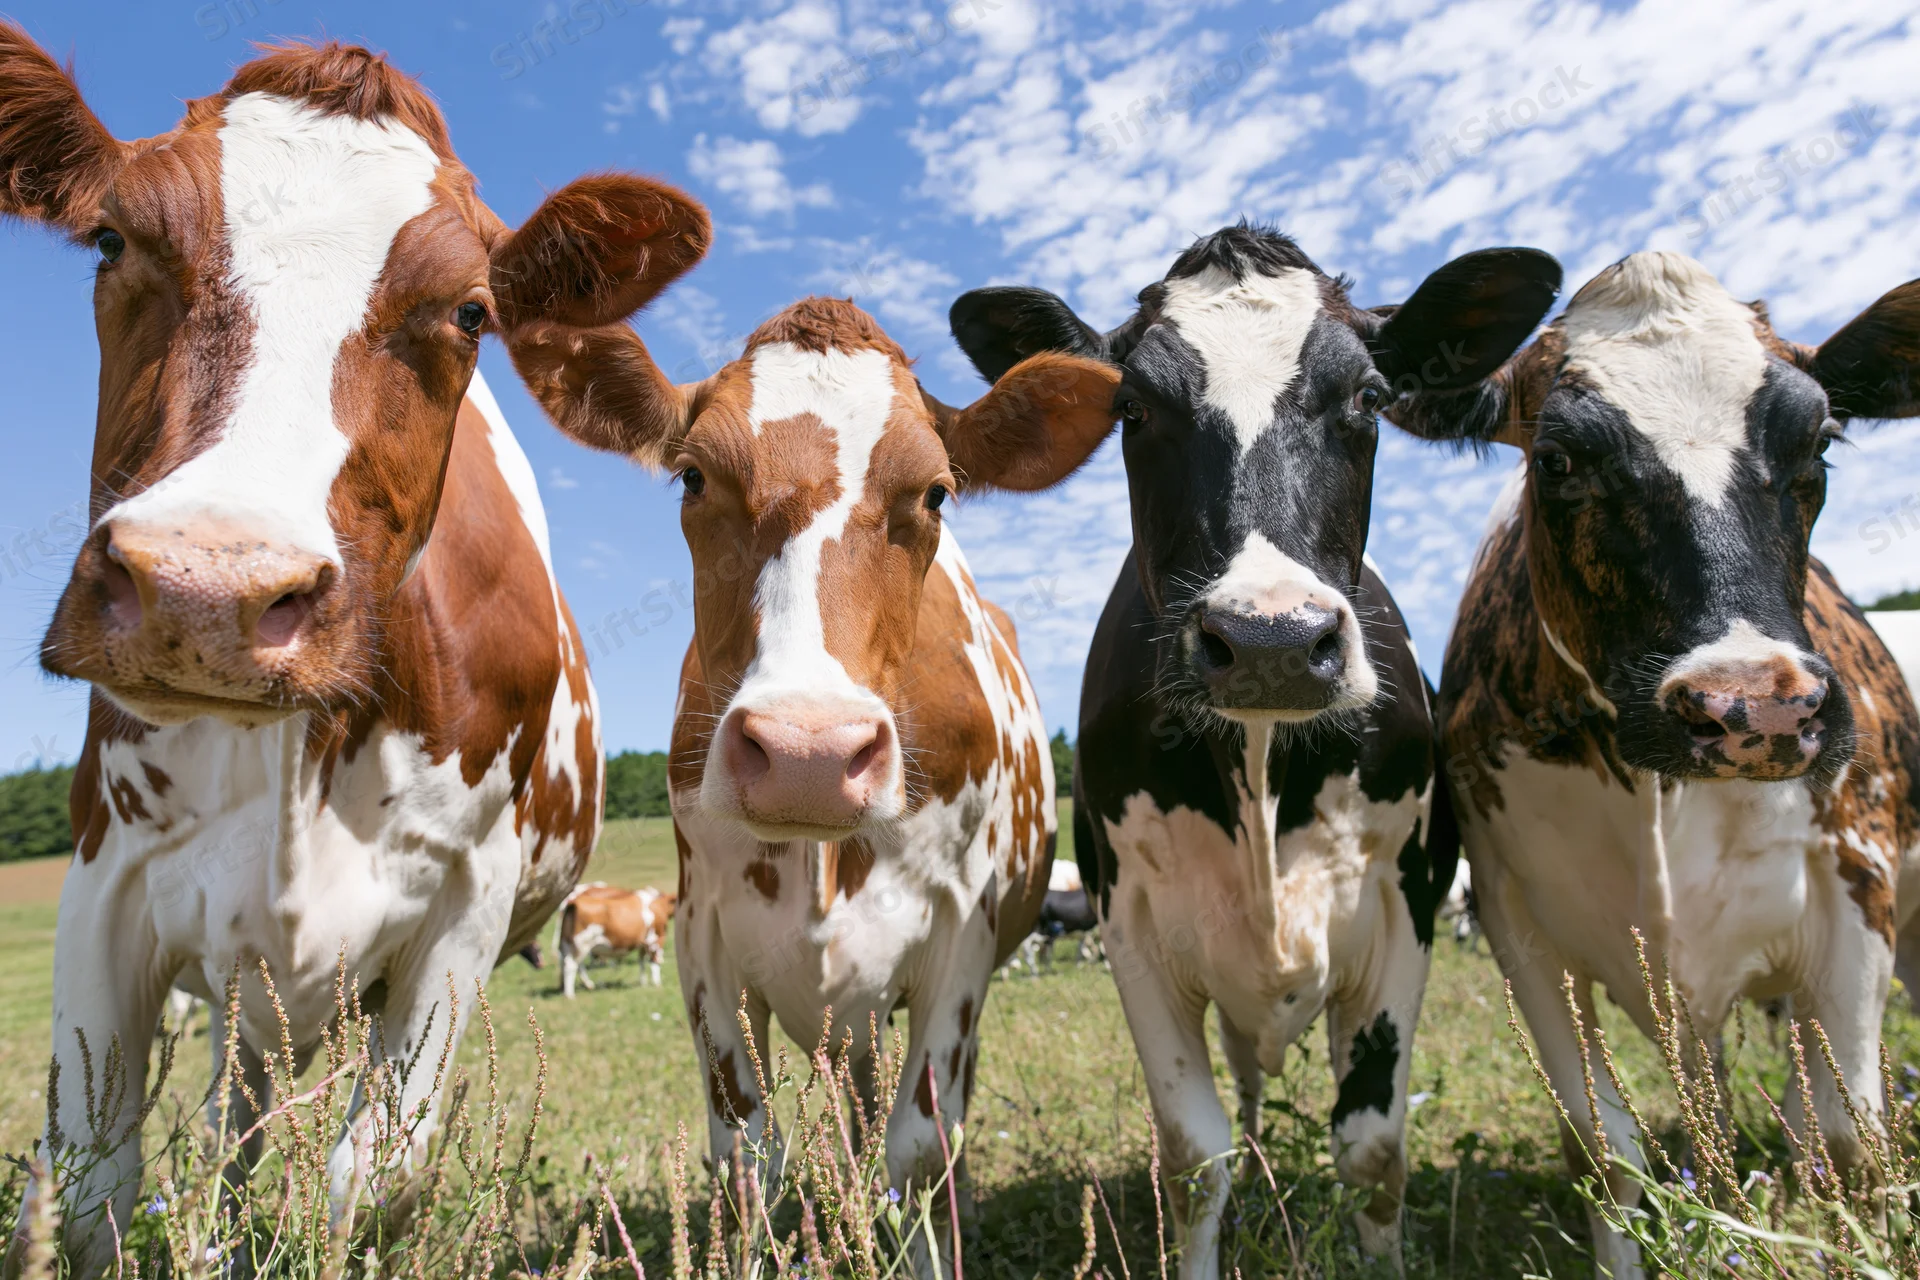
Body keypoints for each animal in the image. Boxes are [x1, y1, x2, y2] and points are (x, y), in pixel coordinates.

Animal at [0, 29, 709, 1271]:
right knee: (231, 1122)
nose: (208, 589)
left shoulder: (463, 906)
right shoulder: (104, 881)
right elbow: (90, 1188)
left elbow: (371, 1183)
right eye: (111, 238)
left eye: (471, 310)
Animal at [504, 293, 1119, 1273]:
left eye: (936, 492)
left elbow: (921, 1144)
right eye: (692, 477)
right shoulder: (704, 933)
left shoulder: (963, 939)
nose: (808, 753)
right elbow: (745, 1148)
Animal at [948, 225, 1562, 1278]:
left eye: (1369, 397)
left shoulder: (1406, 908)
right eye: (1132, 408)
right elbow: (1196, 1156)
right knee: (1244, 1092)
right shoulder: (1133, 928)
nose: (1271, 639)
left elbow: (1373, 1150)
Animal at [1390, 250, 1920, 1279]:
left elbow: (1851, 1139)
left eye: (1821, 443)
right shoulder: (1520, 924)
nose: (1754, 707)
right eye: (1555, 460)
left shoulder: (1858, 882)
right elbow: (1608, 1152)